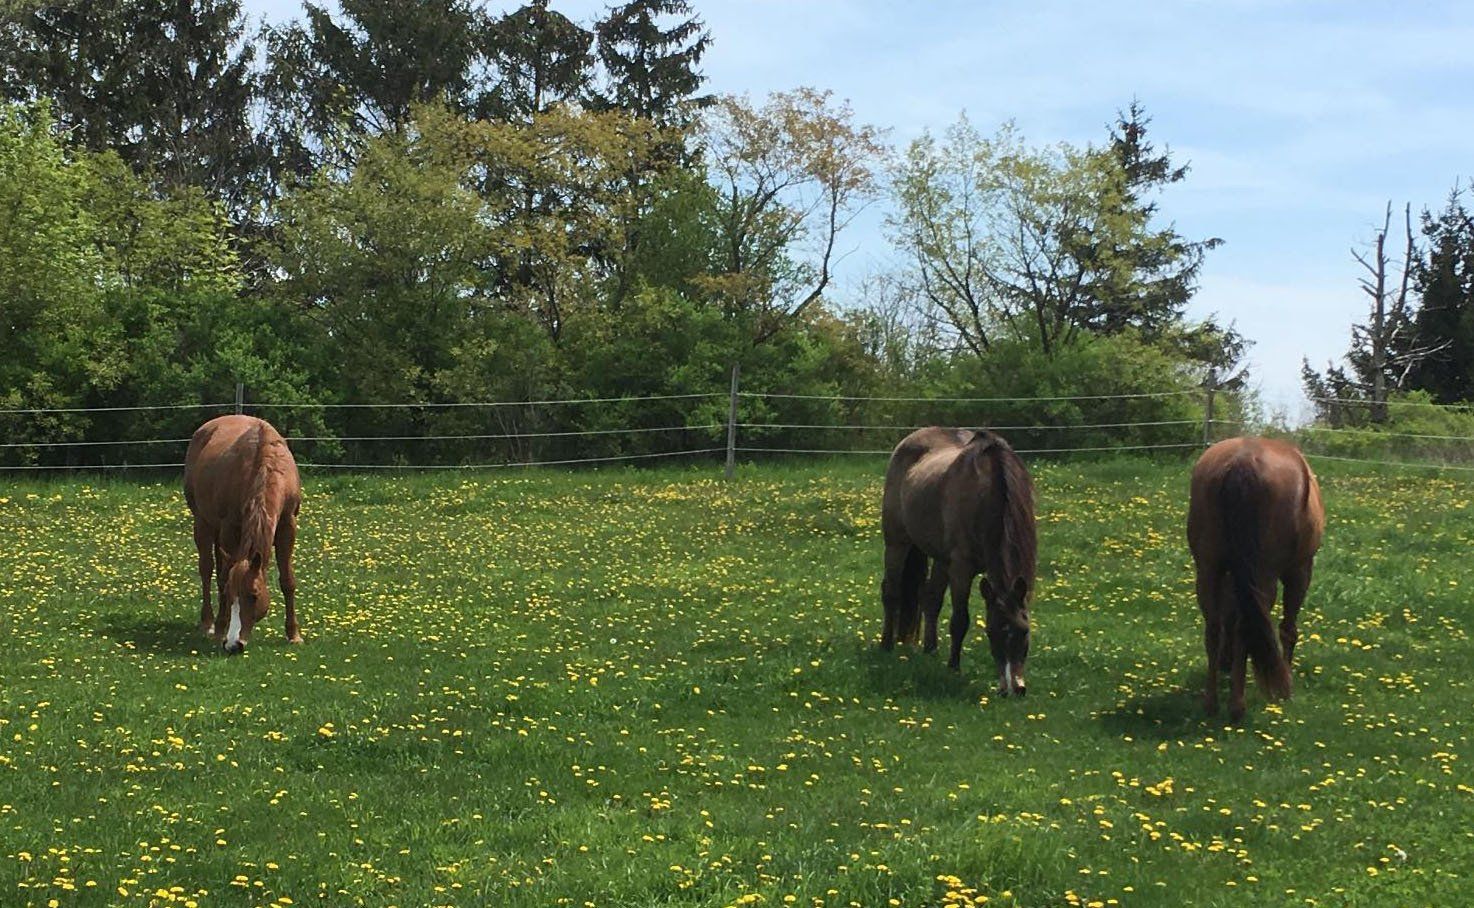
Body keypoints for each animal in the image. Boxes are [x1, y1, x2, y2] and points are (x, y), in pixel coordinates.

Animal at [183, 415, 303, 654]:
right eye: (232, 595)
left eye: (254, 595)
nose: (233, 645)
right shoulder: (230, 529)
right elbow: (223, 579)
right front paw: (221, 628)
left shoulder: (287, 526)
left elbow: (287, 580)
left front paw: (293, 634)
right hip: (203, 523)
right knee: (207, 570)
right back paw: (208, 623)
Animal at [880, 427, 1038, 695]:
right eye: (991, 632)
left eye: (1024, 631)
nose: (1014, 689)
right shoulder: (962, 568)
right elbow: (960, 620)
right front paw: (954, 667)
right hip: (896, 543)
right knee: (891, 592)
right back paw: (886, 645)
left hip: (941, 558)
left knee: (930, 598)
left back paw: (930, 650)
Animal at [1187, 436, 1324, 720]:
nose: (1225, 663)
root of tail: (1243, 461)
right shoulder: (1300, 570)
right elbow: (1288, 629)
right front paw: (1286, 686)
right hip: (1266, 575)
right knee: (1246, 628)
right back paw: (1237, 706)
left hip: (1208, 569)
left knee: (1213, 628)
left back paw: (1212, 703)